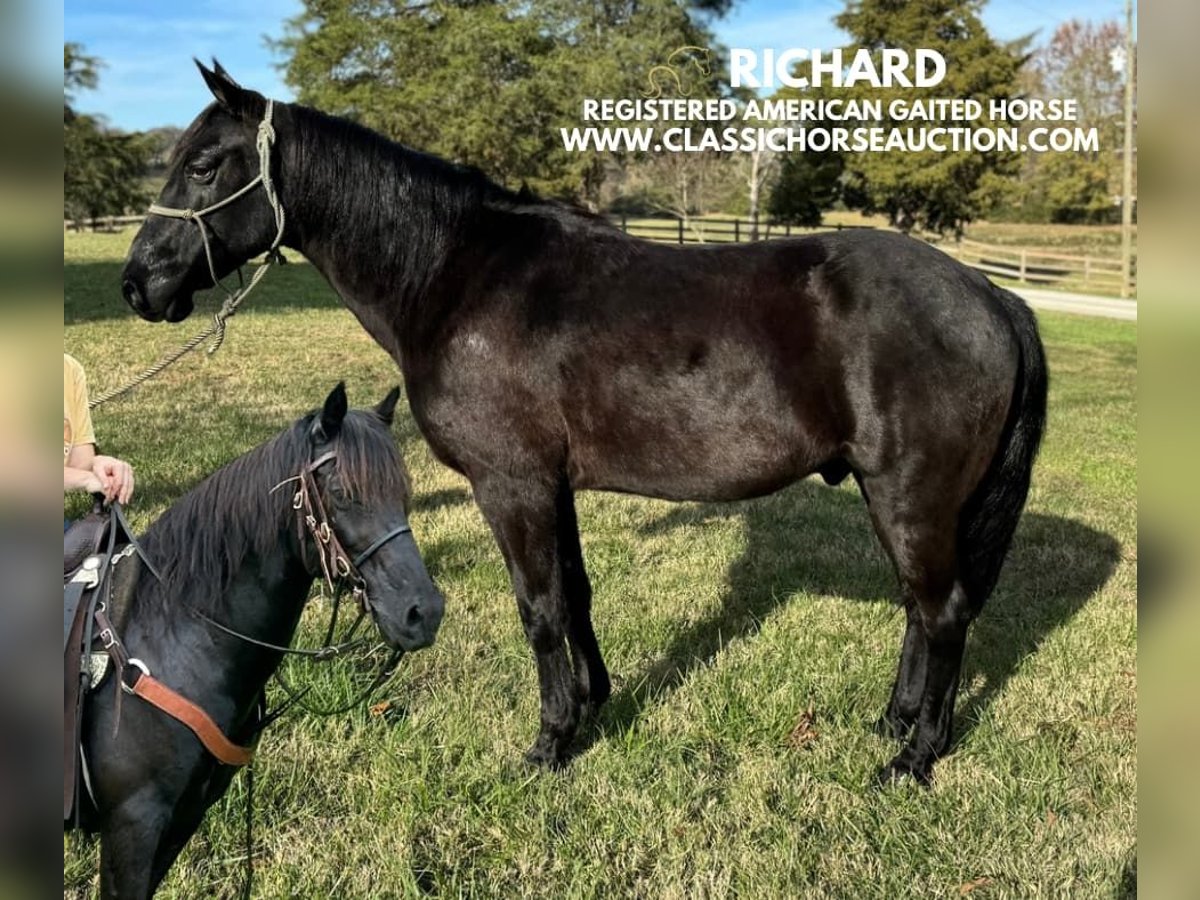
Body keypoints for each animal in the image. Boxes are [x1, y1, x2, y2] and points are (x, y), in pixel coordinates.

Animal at [71, 384, 446, 897]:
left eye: (403, 494)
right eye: (342, 493)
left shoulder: (184, 816)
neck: (173, 639)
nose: (423, 612)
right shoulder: (132, 824)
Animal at [117, 63, 1046, 787]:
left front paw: (550, 743)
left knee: (943, 612)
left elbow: (539, 609)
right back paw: (894, 721)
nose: (139, 284)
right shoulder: (551, 485)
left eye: (205, 165)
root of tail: (988, 294)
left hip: (910, 498)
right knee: (921, 610)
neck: (456, 276)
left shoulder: (511, 485)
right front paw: (594, 705)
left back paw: (914, 757)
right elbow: (576, 594)